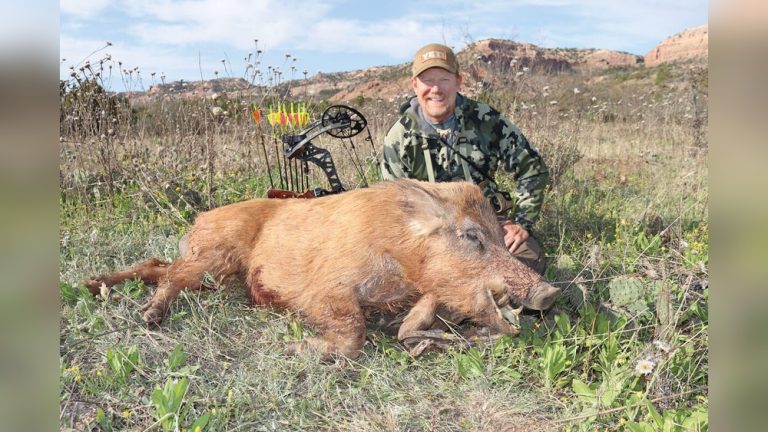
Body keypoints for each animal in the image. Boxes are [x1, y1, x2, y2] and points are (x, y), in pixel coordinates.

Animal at [84, 179, 560, 359]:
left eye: (499, 234)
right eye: (471, 235)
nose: (549, 293)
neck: (401, 253)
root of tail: (196, 223)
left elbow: (421, 312)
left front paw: (422, 340)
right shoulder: (326, 289)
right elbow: (352, 334)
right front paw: (290, 347)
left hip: (215, 273)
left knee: (156, 266)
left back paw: (94, 285)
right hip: (216, 256)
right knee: (169, 276)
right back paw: (145, 316)